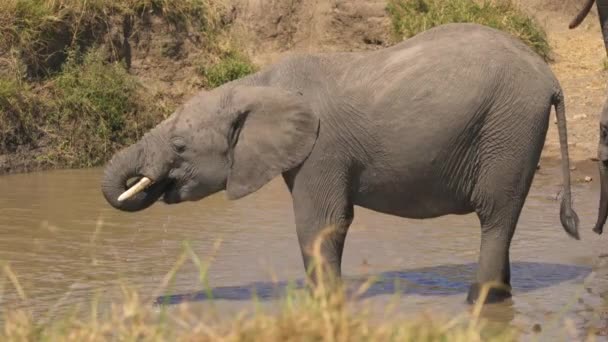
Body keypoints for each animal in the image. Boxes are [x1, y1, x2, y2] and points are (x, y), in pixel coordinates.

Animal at [100, 22, 580, 304]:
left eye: (180, 146)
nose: (147, 302)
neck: (257, 83)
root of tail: (551, 78)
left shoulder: (322, 148)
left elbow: (321, 222)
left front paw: (326, 305)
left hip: (509, 127)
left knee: (495, 217)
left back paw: (477, 302)